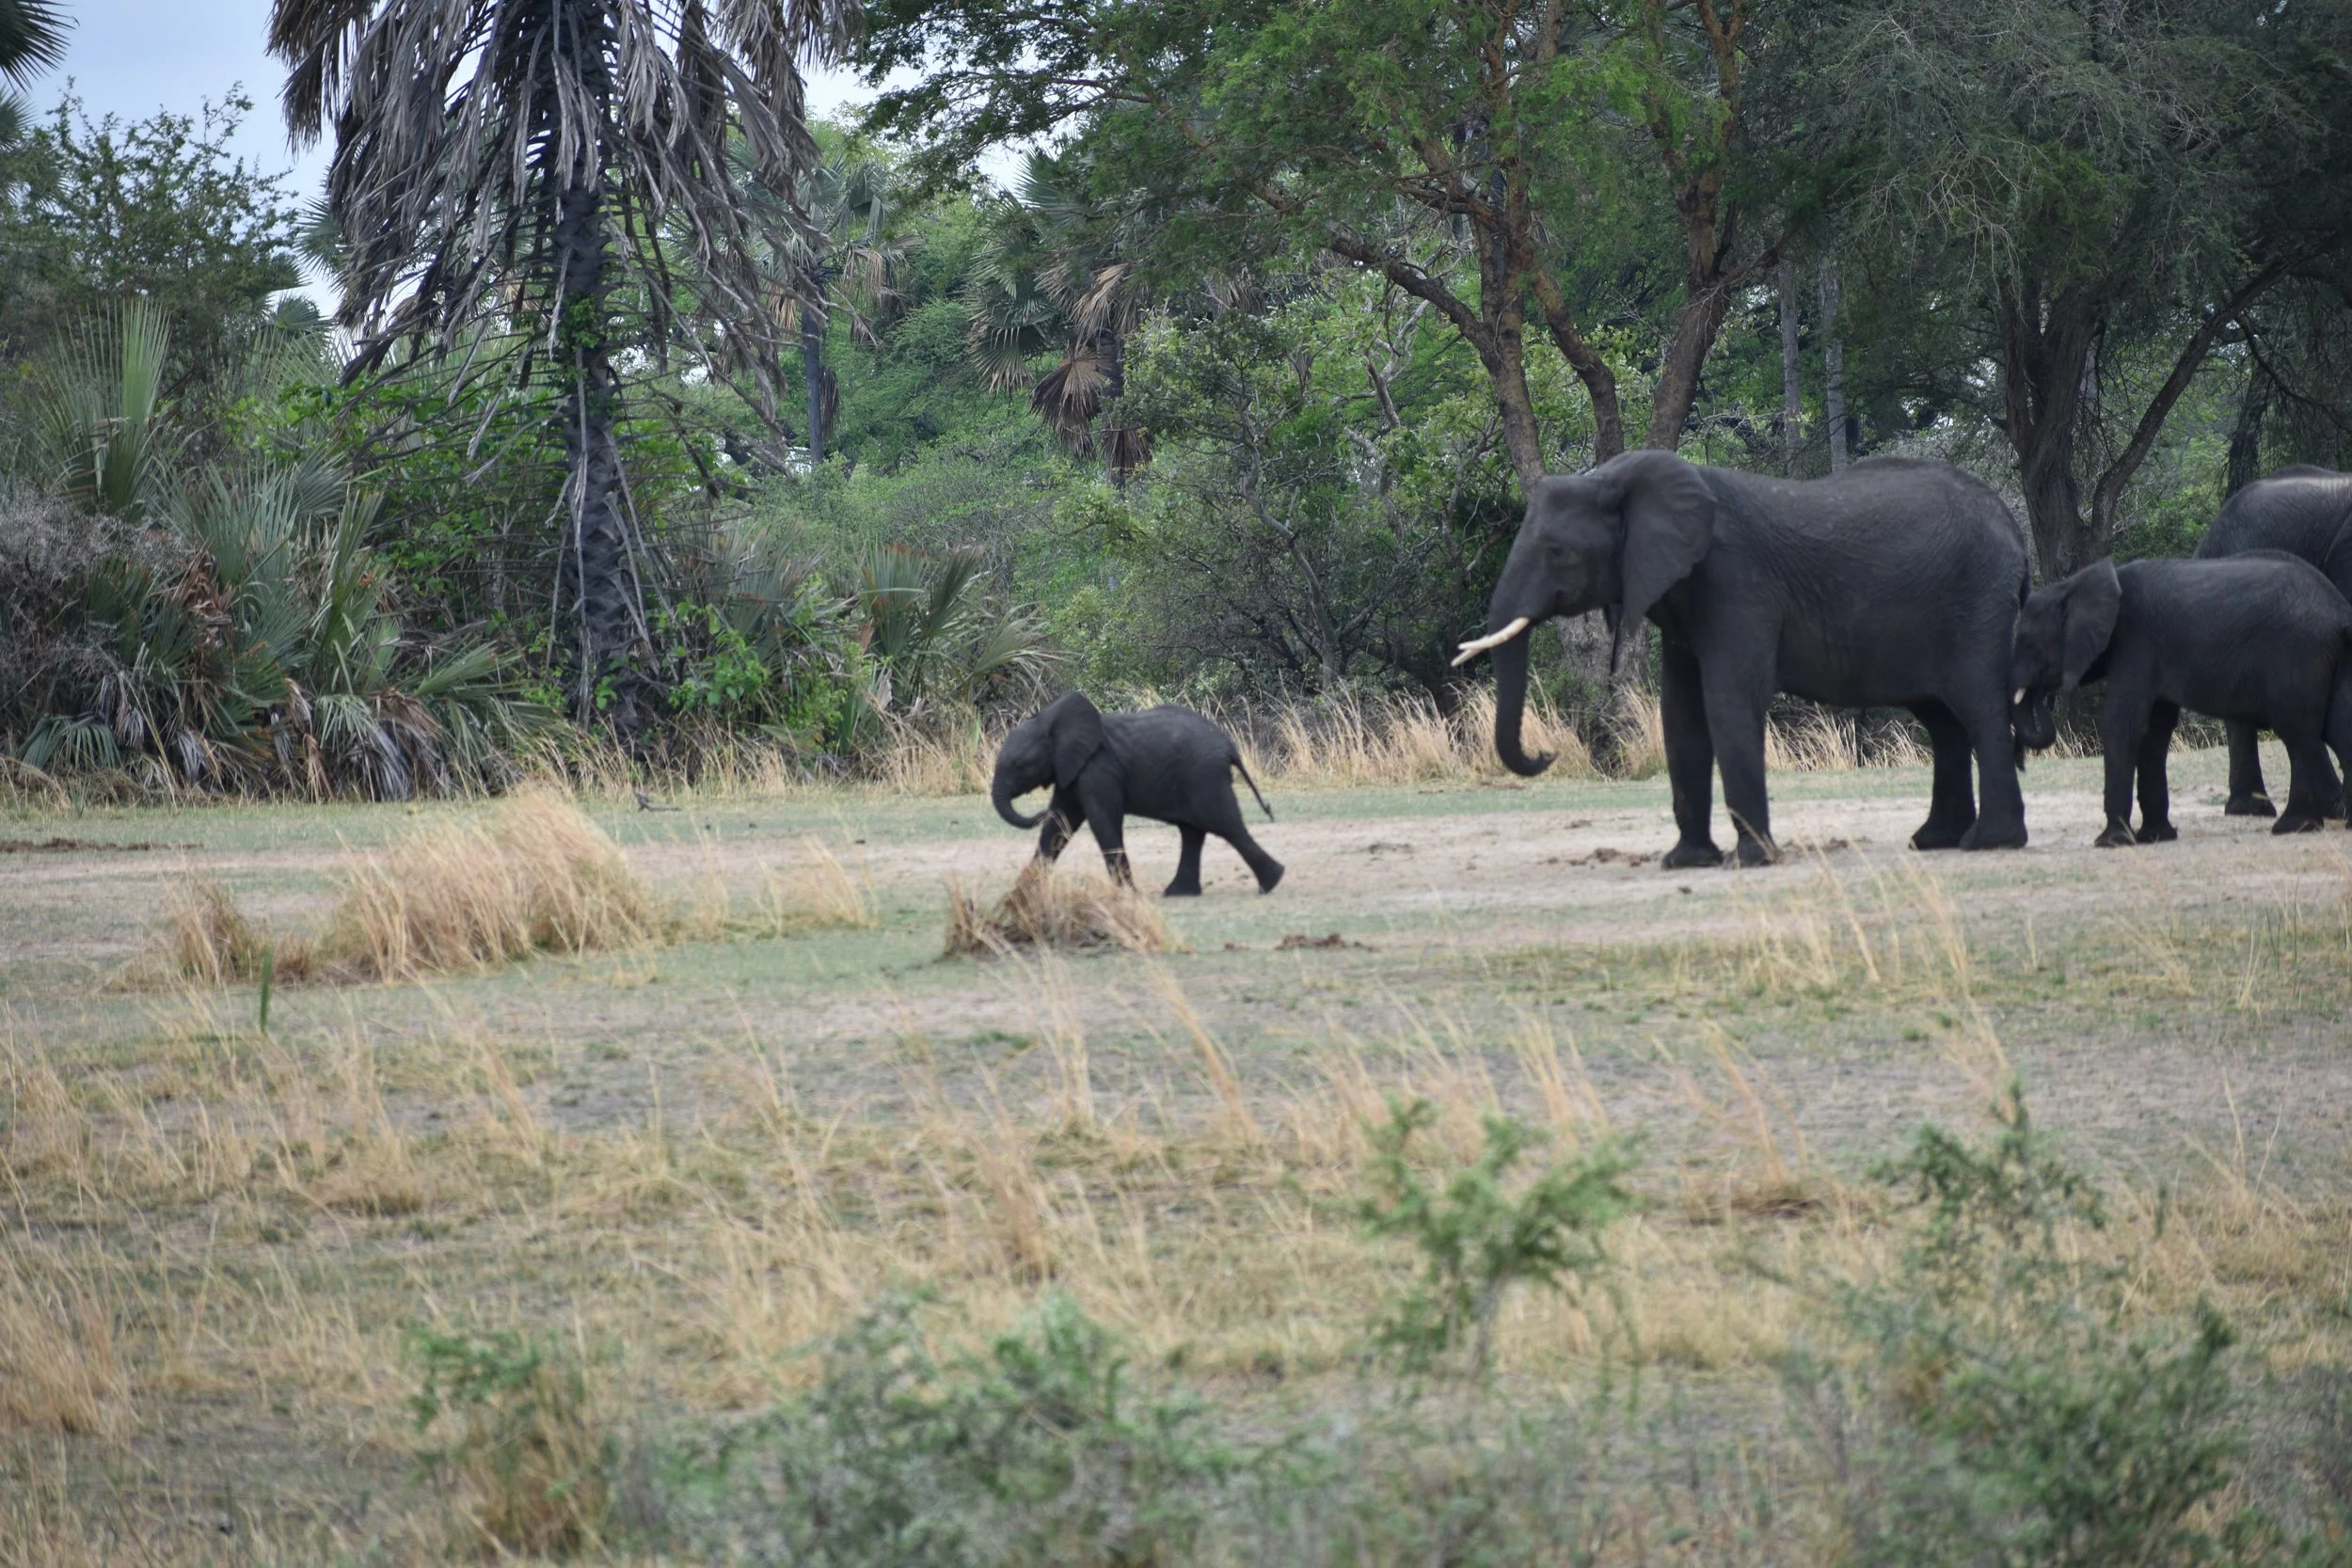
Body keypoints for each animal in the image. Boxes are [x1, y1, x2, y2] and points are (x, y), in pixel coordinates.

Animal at [991, 691, 1285, 895]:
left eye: (1021, 765)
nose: (1036, 810)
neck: (1050, 721)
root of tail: (1229, 746)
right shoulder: (1071, 771)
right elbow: (1058, 824)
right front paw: (1021, 893)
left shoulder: (1098, 770)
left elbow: (1102, 821)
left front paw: (1127, 894)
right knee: (1193, 831)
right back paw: (1179, 893)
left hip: (1204, 776)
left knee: (1224, 824)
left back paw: (1271, 883)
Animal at [1455, 450, 2030, 866]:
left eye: (1556, 551)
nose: (1546, 753)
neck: (1618, 479)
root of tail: (2012, 527)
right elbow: (1681, 715)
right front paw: (1686, 862)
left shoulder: (1736, 583)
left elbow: (1730, 700)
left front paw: (1753, 860)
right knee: (1943, 721)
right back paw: (1935, 841)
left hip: (1975, 601)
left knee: (1978, 708)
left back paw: (1990, 842)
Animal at [2009, 553, 2352, 845]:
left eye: (2027, 643)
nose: (2042, 693)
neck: (2075, 584)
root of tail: (2339, 608)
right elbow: (2155, 731)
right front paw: (2156, 837)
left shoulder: (2136, 643)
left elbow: (2123, 724)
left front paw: (2111, 842)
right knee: (2335, 726)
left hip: (2297, 655)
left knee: (2296, 729)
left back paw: (2292, 827)